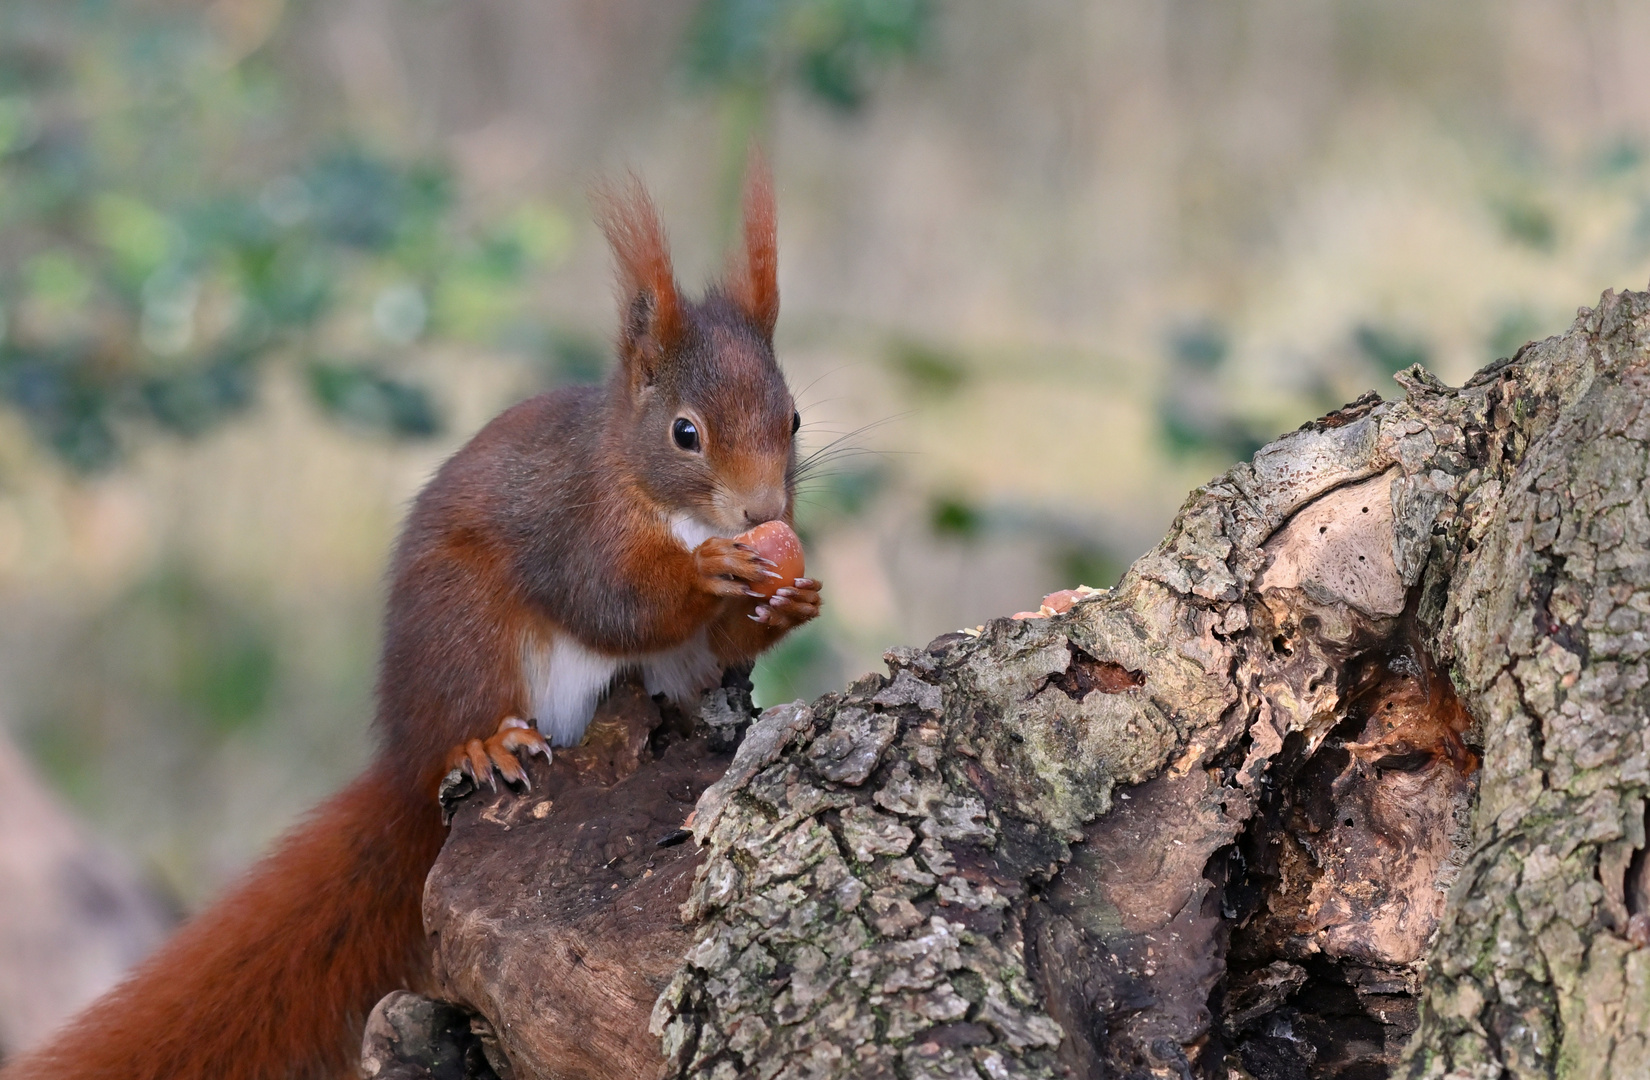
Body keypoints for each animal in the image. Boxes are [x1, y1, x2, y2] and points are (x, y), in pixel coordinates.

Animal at [4, 160, 818, 1080]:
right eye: (686, 433)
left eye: (793, 418)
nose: (763, 510)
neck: (657, 496)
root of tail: (403, 756)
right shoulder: (574, 524)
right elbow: (612, 601)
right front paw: (711, 572)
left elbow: (717, 644)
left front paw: (789, 601)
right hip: (468, 633)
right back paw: (485, 744)